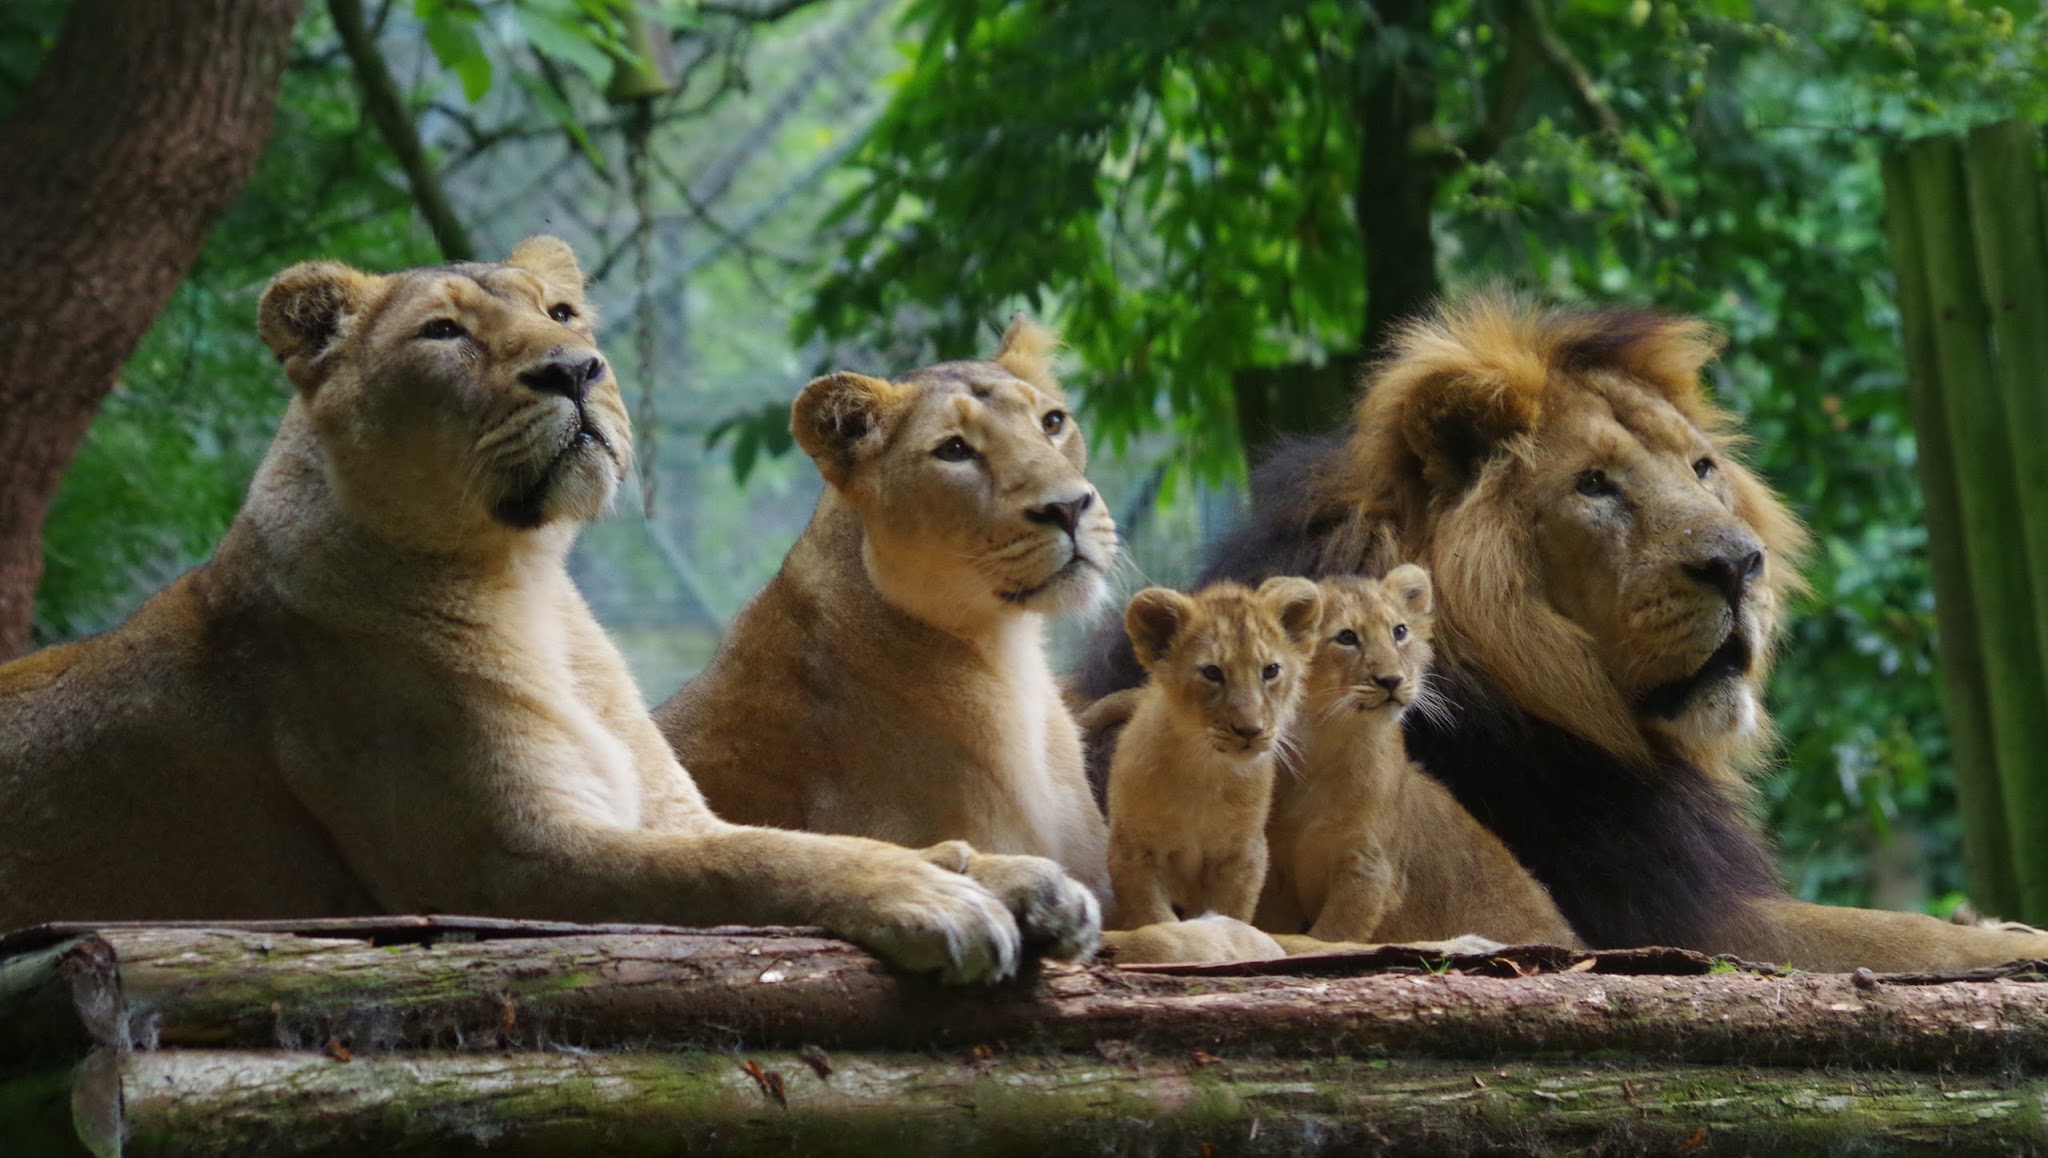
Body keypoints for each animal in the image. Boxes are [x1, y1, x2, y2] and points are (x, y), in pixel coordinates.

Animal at [0, 239, 1097, 979]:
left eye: (565, 313)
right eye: (443, 332)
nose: (575, 370)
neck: (524, 581)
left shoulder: (665, 809)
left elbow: (795, 838)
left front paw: (1021, 880)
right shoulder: (511, 869)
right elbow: (749, 861)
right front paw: (934, 898)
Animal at [1081, 295, 2048, 967]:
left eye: (1703, 468)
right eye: (1595, 486)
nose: (1741, 565)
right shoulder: (1667, 919)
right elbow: (1903, 938)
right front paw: (2010, 940)